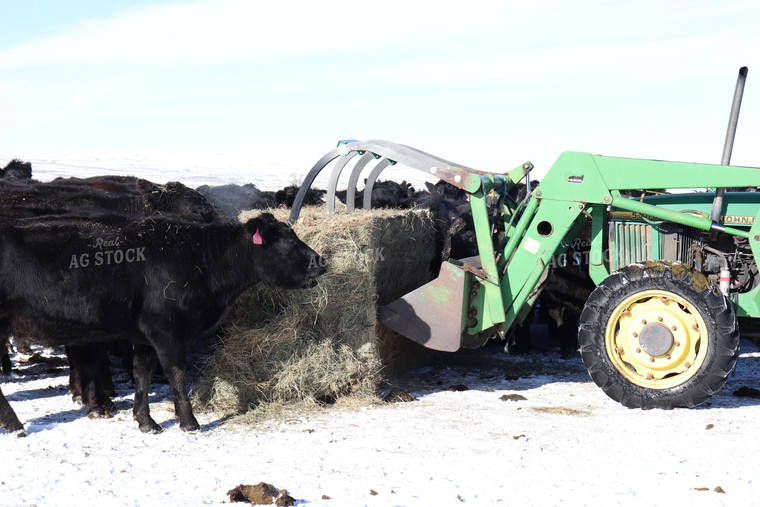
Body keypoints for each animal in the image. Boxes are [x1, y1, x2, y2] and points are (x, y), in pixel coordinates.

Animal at [0, 212, 324, 434]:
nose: (321, 261)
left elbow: (142, 373)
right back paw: (15, 425)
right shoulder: (166, 331)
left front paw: (145, 420)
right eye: (287, 242)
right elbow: (177, 374)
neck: (200, 261)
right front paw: (189, 422)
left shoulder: (145, 337)